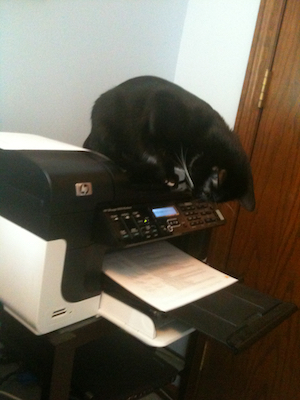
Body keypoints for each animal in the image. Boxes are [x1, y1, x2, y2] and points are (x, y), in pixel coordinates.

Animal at [84, 76, 255, 211]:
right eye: (207, 192)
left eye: (210, 198)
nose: (194, 196)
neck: (202, 139)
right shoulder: (158, 109)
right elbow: (159, 151)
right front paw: (169, 174)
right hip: (109, 128)